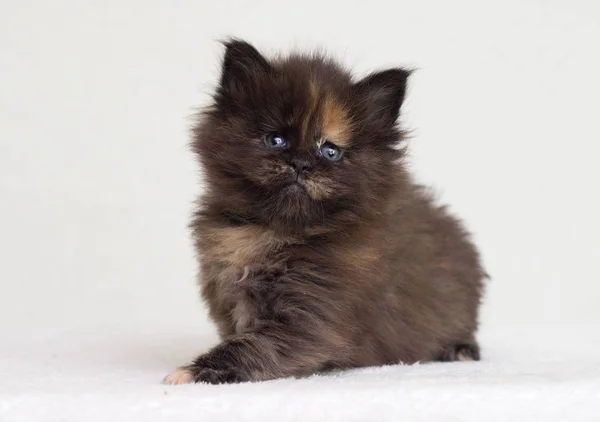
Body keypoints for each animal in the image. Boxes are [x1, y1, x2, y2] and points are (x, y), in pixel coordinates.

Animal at [164, 40, 488, 386]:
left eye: (330, 151)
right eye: (275, 140)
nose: (301, 164)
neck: (270, 230)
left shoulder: (312, 318)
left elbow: (253, 347)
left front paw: (193, 372)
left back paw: (459, 350)